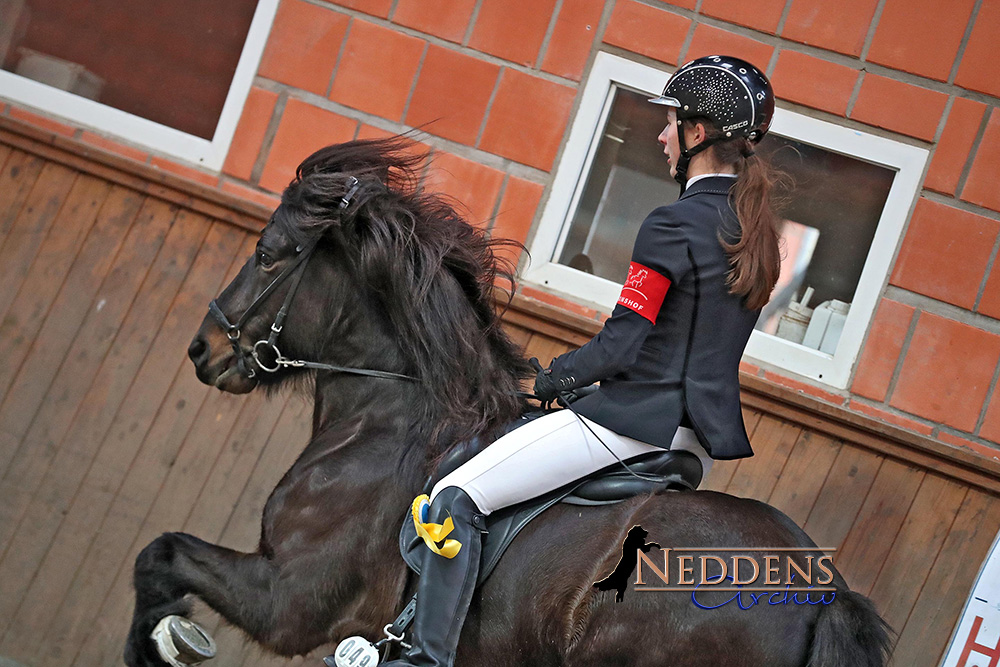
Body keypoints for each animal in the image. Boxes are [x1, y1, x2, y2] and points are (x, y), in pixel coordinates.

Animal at [123, 138, 892, 667]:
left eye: (270, 253)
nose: (202, 349)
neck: (390, 420)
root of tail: (822, 592)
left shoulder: (288, 598)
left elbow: (160, 553)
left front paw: (155, 642)